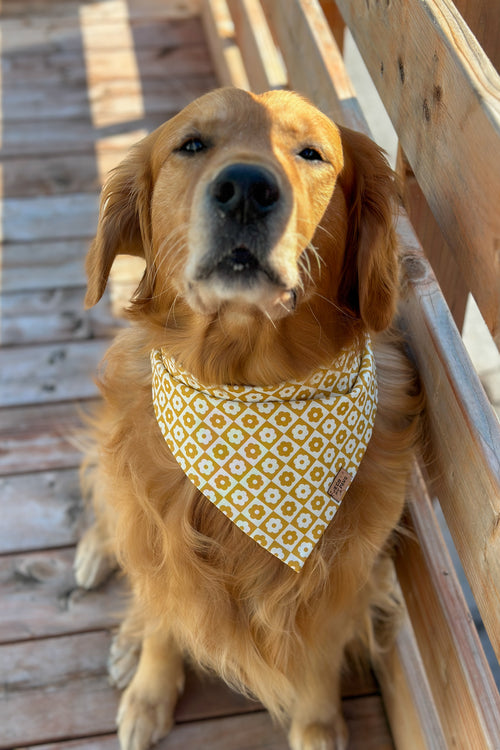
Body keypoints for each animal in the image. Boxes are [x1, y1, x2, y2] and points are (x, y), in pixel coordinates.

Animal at [75, 89, 422, 750]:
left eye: (311, 153)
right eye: (191, 144)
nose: (244, 189)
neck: (248, 386)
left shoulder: (346, 576)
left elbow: (319, 653)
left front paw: (318, 723)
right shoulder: (159, 545)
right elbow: (164, 621)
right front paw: (150, 694)